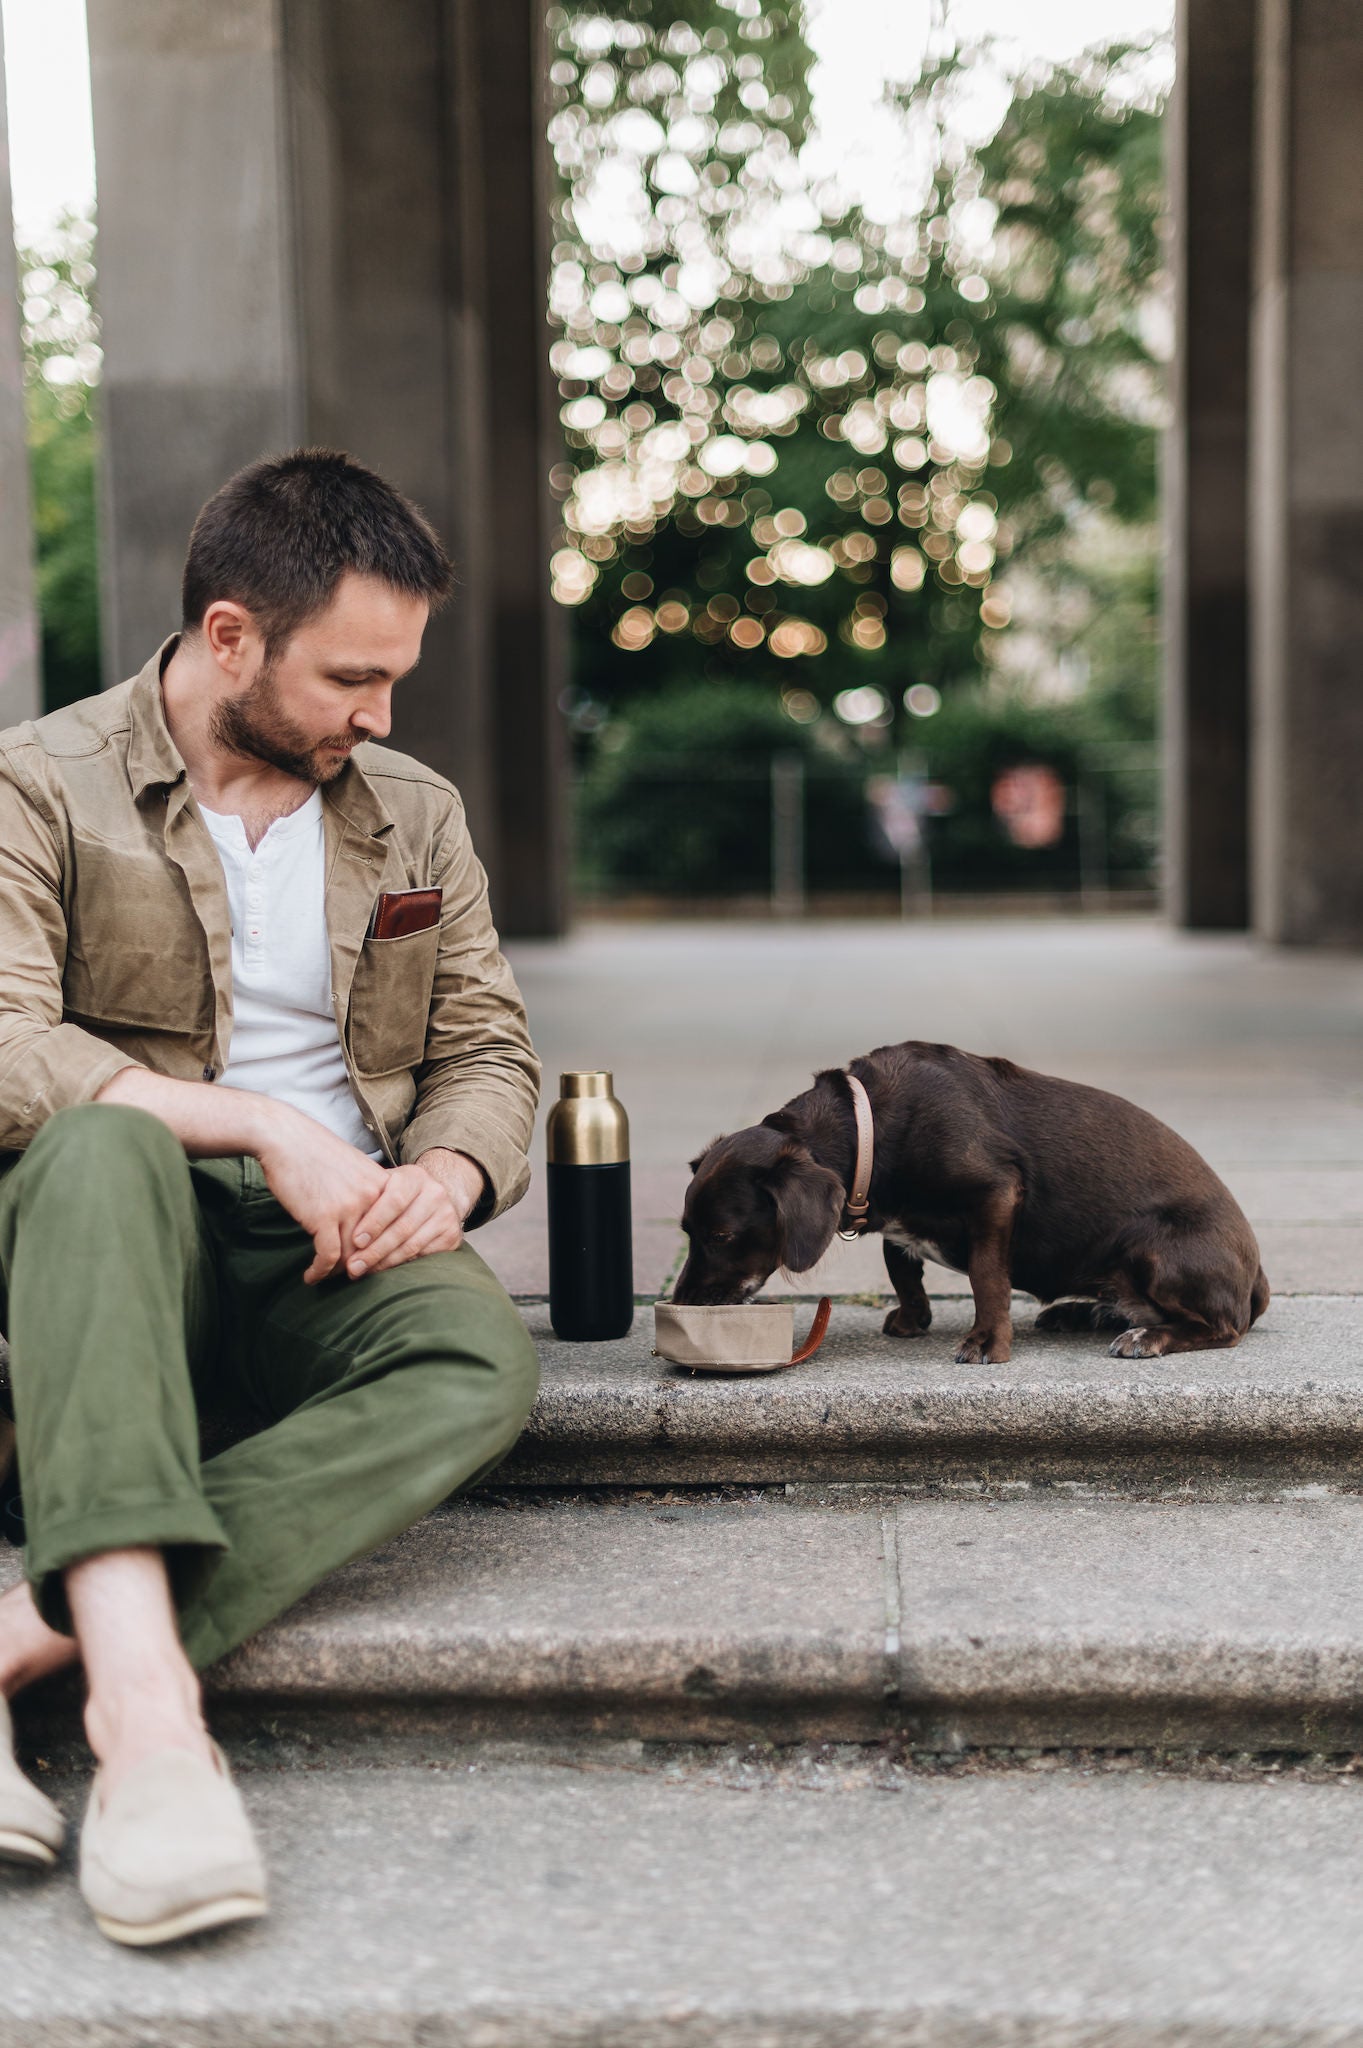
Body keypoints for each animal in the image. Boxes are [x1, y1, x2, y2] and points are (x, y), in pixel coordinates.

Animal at [675, 1048, 1268, 1368]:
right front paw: (914, 1318)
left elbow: (987, 1278)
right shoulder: (896, 1222)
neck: (870, 1127)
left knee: (1224, 1327)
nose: (681, 1304)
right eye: (686, 1231)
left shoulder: (996, 1194)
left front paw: (987, 1342)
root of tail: (1257, 1274)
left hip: (1152, 1248)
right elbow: (901, 1269)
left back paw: (1149, 1336)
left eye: (722, 1236)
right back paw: (1083, 1313)